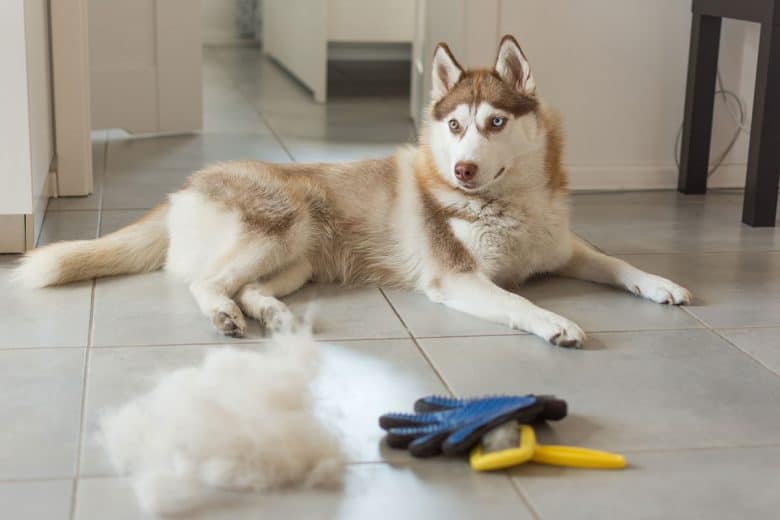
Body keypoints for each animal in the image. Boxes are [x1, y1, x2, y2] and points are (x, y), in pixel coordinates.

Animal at [15, 35, 692, 346]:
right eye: (454, 126)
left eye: (496, 123)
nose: (464, 170)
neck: (508, 206)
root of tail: (182, 189)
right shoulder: (459, 278)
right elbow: (519, 302)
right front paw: (554, 321)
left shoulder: (566, 249)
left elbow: (617, 262)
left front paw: (661, 284)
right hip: (282, 222)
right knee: (205, 282)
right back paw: (226, 317)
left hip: (298, 259)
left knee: (249, 285)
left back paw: (270, 313)